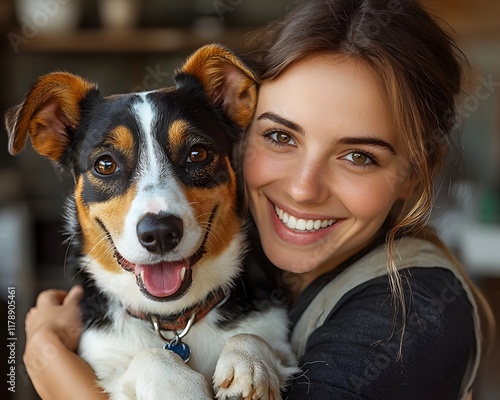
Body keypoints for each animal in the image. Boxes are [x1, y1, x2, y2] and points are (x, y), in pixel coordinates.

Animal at [4, 44, 296, 400]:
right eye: (105, 164)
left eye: (197, 153)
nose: (159, 233)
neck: (172, 319)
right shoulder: (104, 360)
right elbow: (151, 356)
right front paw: (180, 386)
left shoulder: (277, 333)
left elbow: (253, 336)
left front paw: (249, 364)